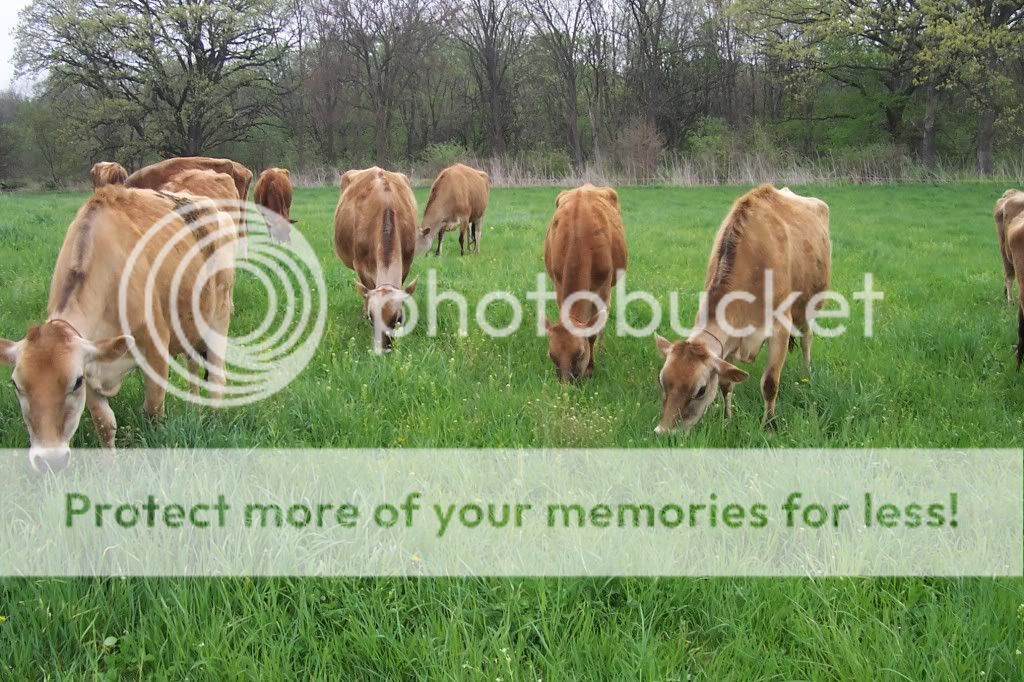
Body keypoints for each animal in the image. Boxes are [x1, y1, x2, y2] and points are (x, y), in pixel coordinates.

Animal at [0, 186, 236, 472]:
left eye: (75, 382)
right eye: (16, 384)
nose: (49, 460)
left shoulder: (155, 352)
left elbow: (153, 411)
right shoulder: (91, 360)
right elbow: (105, 422)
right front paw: (109, 467)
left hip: (219, 316)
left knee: (216, 379)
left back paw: (215, 421)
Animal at [543, 184, 627, 381]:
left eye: (580, 354)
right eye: (552, 355)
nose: (565, 384)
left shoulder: (602, 288)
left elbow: (594, 330)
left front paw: (590, 368)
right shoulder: (558, 283)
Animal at [654, 184, 831, 434]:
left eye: (700, 390)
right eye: (662, 381)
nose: (664, 433)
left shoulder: (780, 328)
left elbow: (770, 383)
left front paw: (769, 426)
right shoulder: (729, 341)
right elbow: (726, 383)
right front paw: (727, 420)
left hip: (808, 305)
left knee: (807, 339)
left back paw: (806, 377)